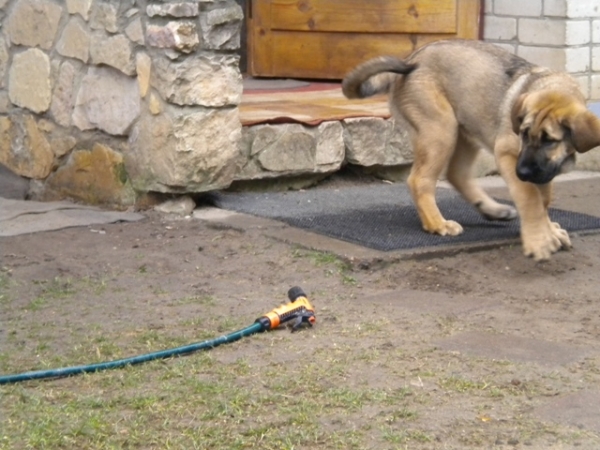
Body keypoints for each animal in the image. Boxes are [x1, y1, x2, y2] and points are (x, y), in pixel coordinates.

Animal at [342, 41, 600, 264]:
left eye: (550, 141)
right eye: (524, 134)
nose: (522, 171)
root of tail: (411, 59)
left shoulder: (543, 170)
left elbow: (543, 199)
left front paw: (548, 231)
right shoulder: (507, 154)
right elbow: (529, 196)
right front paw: (539, 240)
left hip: (464, 130)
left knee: (457, 174)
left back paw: (492, 210)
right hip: (441, 128)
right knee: (420, 180)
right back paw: (437, 224)